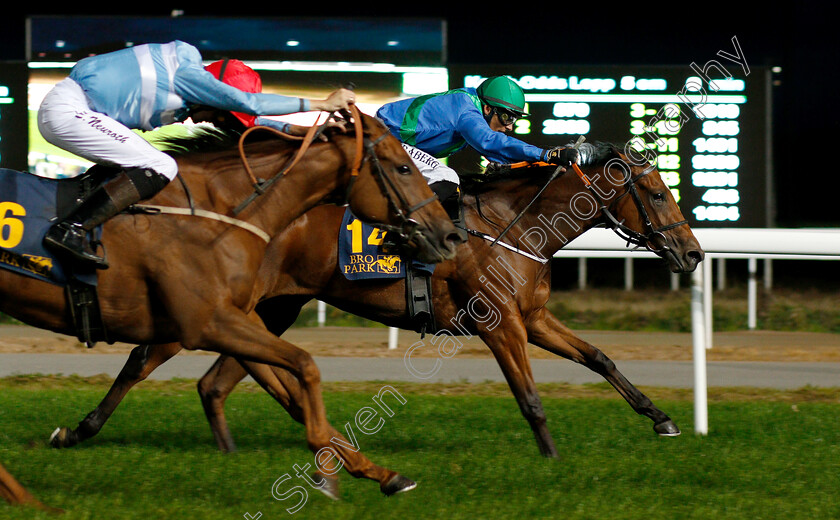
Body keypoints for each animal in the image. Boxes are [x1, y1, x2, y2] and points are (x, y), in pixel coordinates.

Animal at [0, 107, 462, 510]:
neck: (218, 210)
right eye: (403, 168)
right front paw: (326, 468)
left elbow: (292, 376)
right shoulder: (208, 323)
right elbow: (305, 366)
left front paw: (379, 473)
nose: (449, 235)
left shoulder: (239, 316)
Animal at [46, 143, 704, 492]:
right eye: (659, 193)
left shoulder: (534, 317)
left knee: (220, 379)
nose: (694, 254)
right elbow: (531, 398)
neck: (511, 228)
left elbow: (600, 357)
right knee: (146, 359)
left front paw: (662, 419)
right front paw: (553, 461)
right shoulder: (500, 324)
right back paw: (77, 430)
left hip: (272, 307)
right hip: (215, 305)